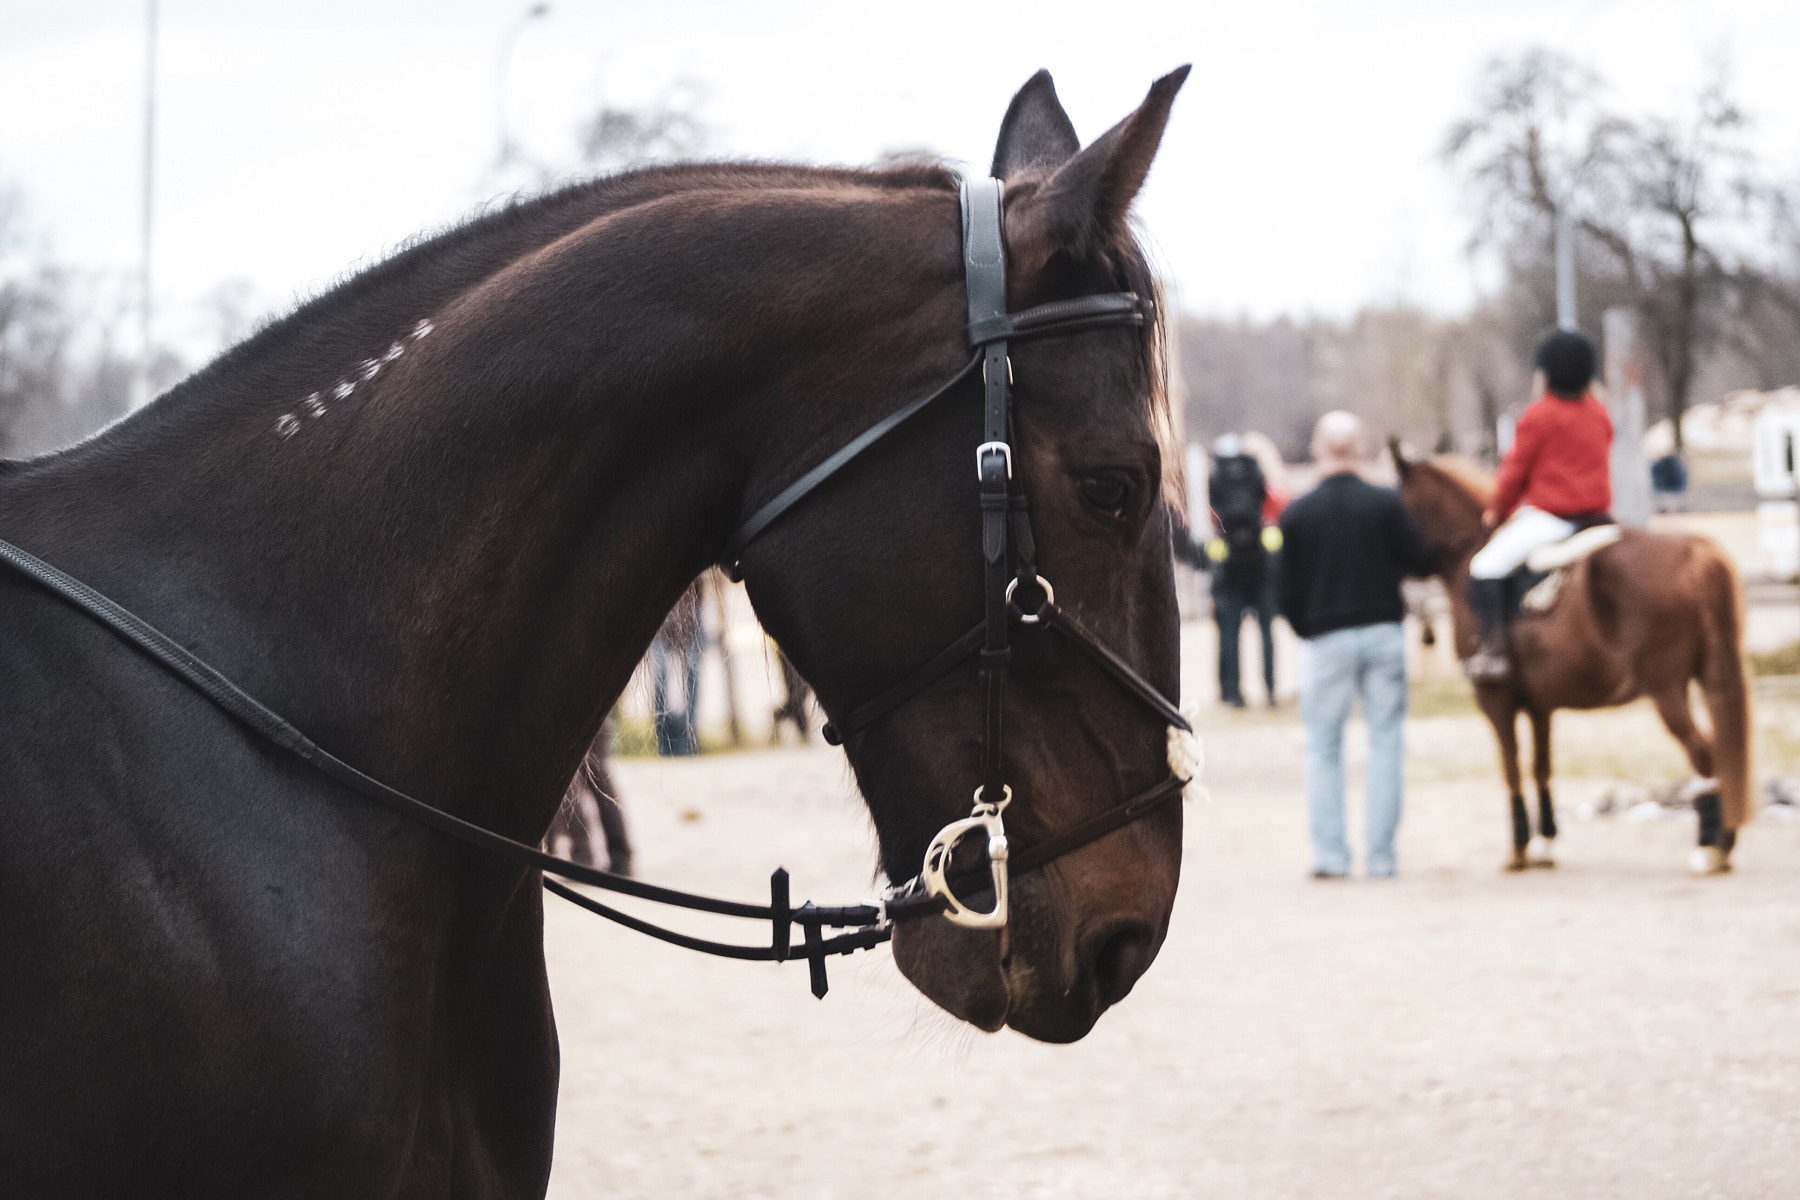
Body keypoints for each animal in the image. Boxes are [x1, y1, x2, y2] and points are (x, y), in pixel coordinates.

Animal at [1389, 449, 1756, 874]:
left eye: (1394, 501)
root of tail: (1695, 551)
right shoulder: (1540, 706)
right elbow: (1541, 767)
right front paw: (1546, 844)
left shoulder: (1495, 699)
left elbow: (1511, 768)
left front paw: (1518, 850)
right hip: (1709, 675)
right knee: (1722, 758)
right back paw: (1722, 843)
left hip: (1667, 690)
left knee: (1706, 756)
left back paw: (1709, 848)